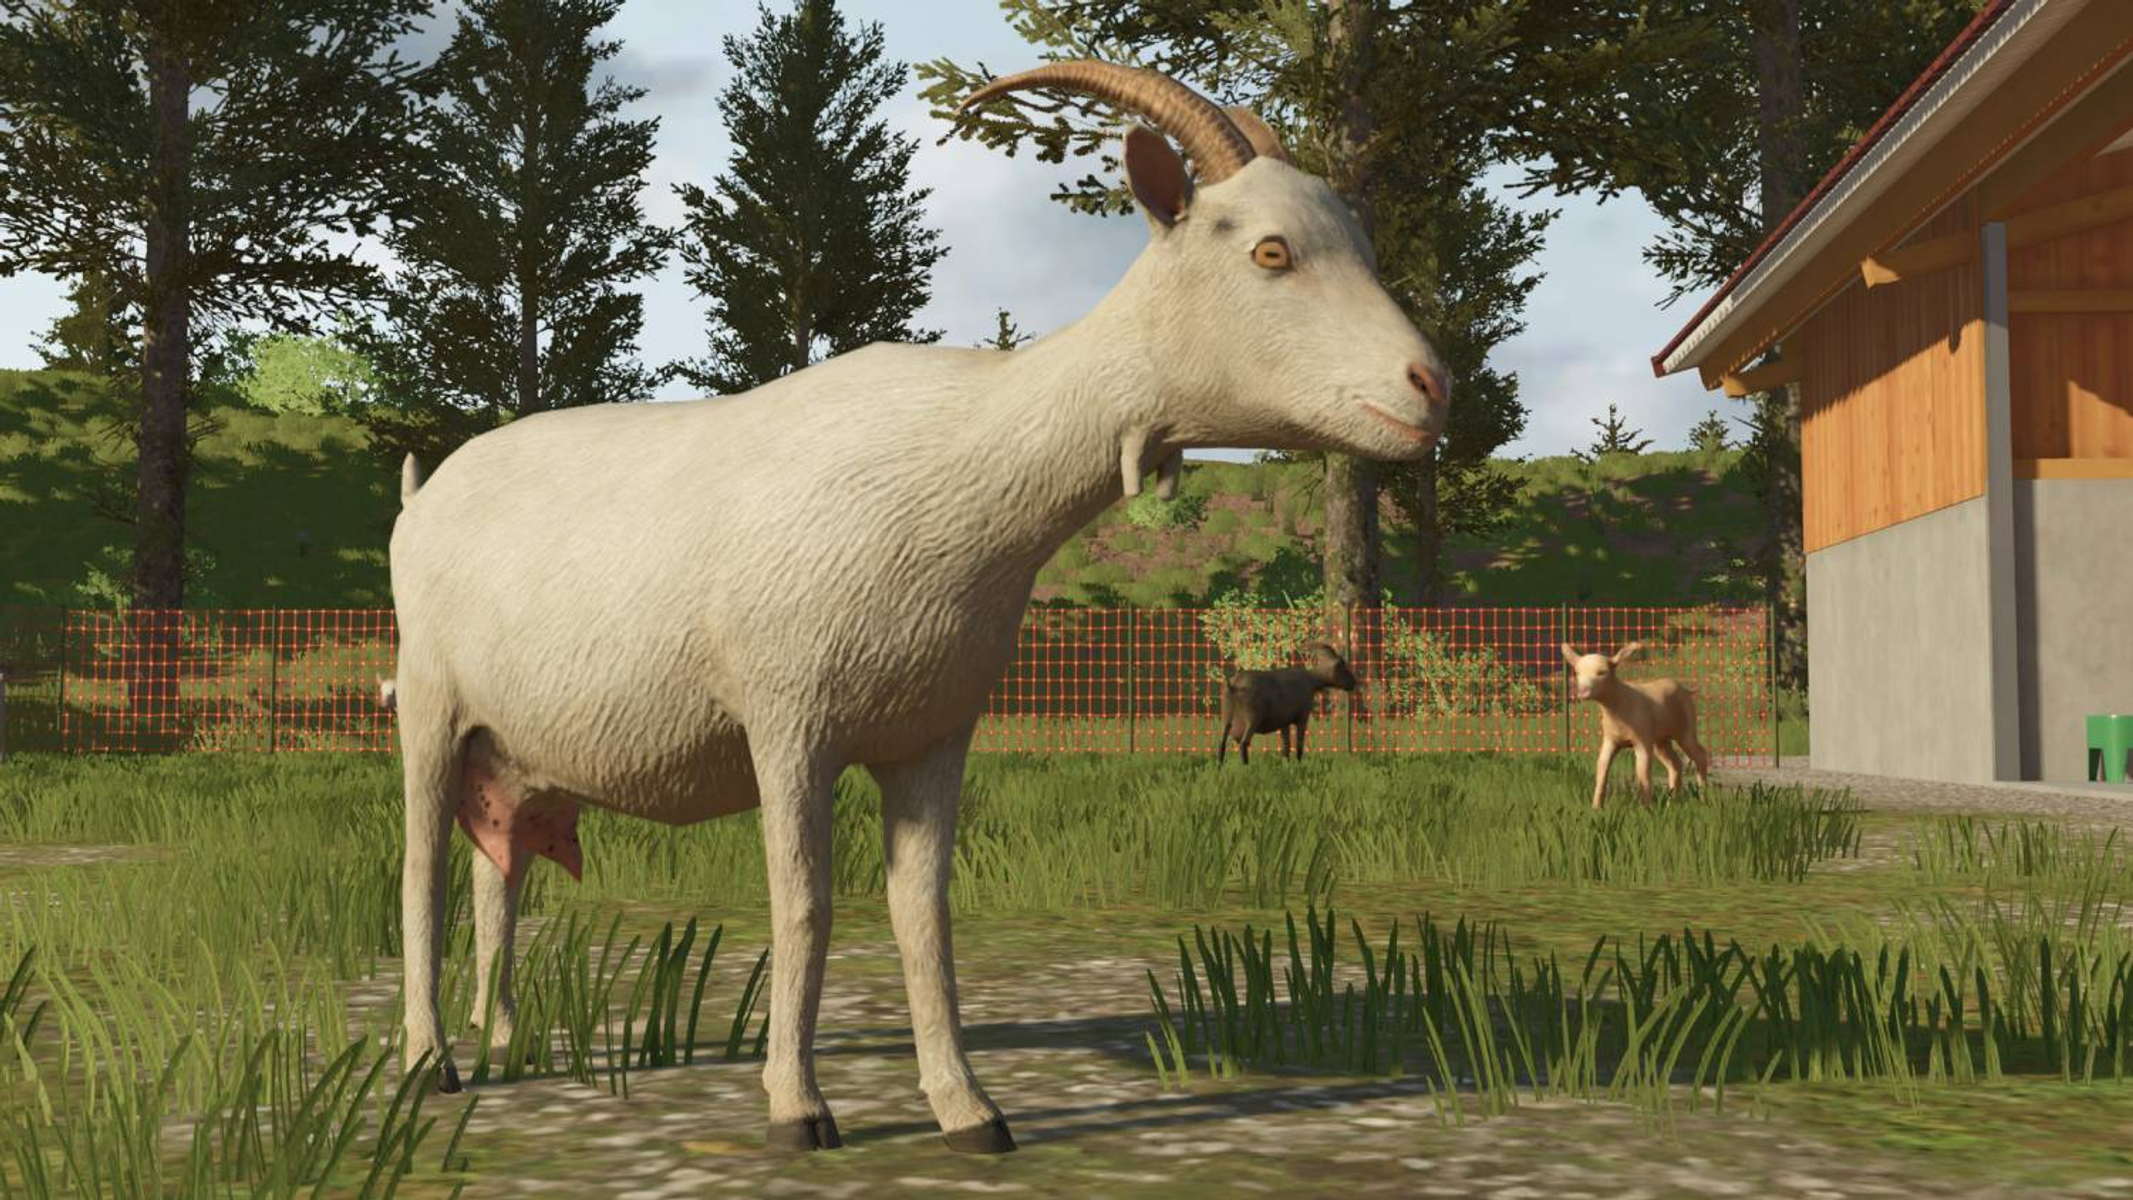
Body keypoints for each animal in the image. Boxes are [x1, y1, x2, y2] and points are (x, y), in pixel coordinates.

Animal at [1216, 642, 1356, 763]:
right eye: (1344, 668)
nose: (1354, 683)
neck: (1311, 680)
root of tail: (1233, 684)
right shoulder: (1302, 717)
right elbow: (1299, 745)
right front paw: (1299, 763)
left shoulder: (1284, 723)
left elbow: (1286, 748)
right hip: (1252, 719)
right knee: (1244, 743)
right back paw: (1246, 767)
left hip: (1227, 718)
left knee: (1221, 742)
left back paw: (1219, 767)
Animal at [1561, 642, 1712, 809]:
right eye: (1577, 672)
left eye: (1602, 672)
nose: (1582, 692)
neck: (1618, 705)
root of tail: (1686, 689)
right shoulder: (1610, 740)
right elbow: (1601, 768)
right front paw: (1596, 807)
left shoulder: (1642, 740)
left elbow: (1643, 773)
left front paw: (1646, 808)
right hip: (1661, 740)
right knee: (1675, 763)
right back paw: (1672, 803)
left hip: (1686, 728)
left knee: (1700, 755)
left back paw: (1703, 798)